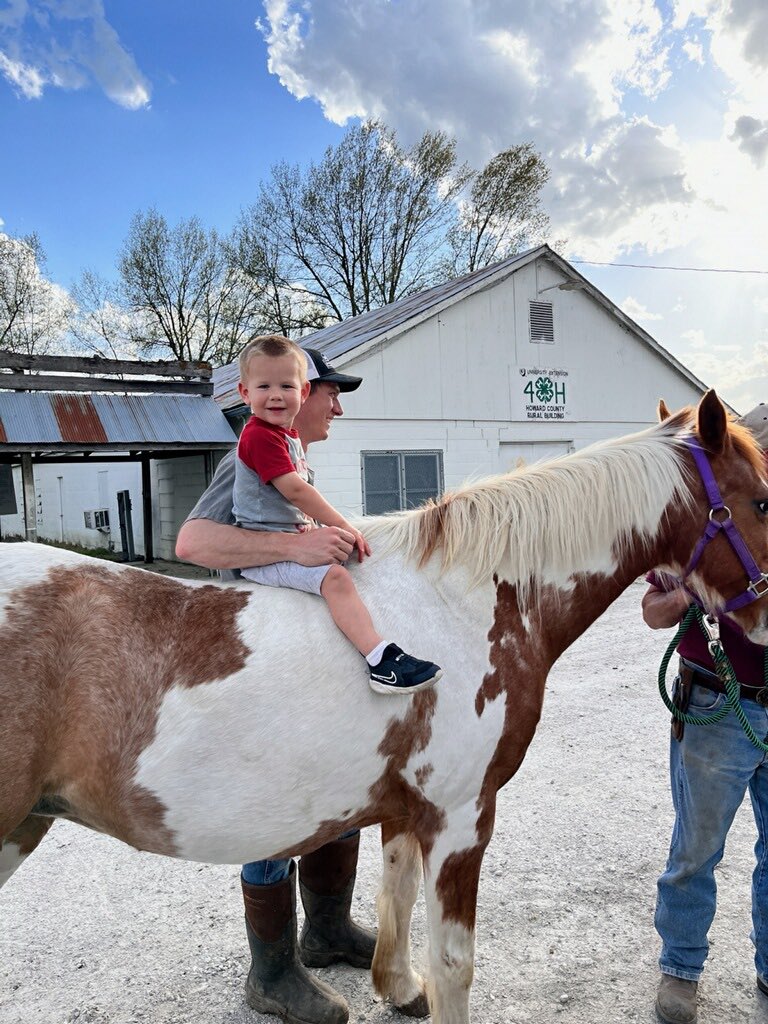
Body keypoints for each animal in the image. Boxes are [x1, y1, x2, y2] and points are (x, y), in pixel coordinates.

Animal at [1, 391, 768, 1024]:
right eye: (761, 501)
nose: (763, 624)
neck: (464, 602)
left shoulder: (405, 809)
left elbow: (393, 894)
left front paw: (397, 989)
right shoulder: (462, 818)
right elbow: (455, 963)